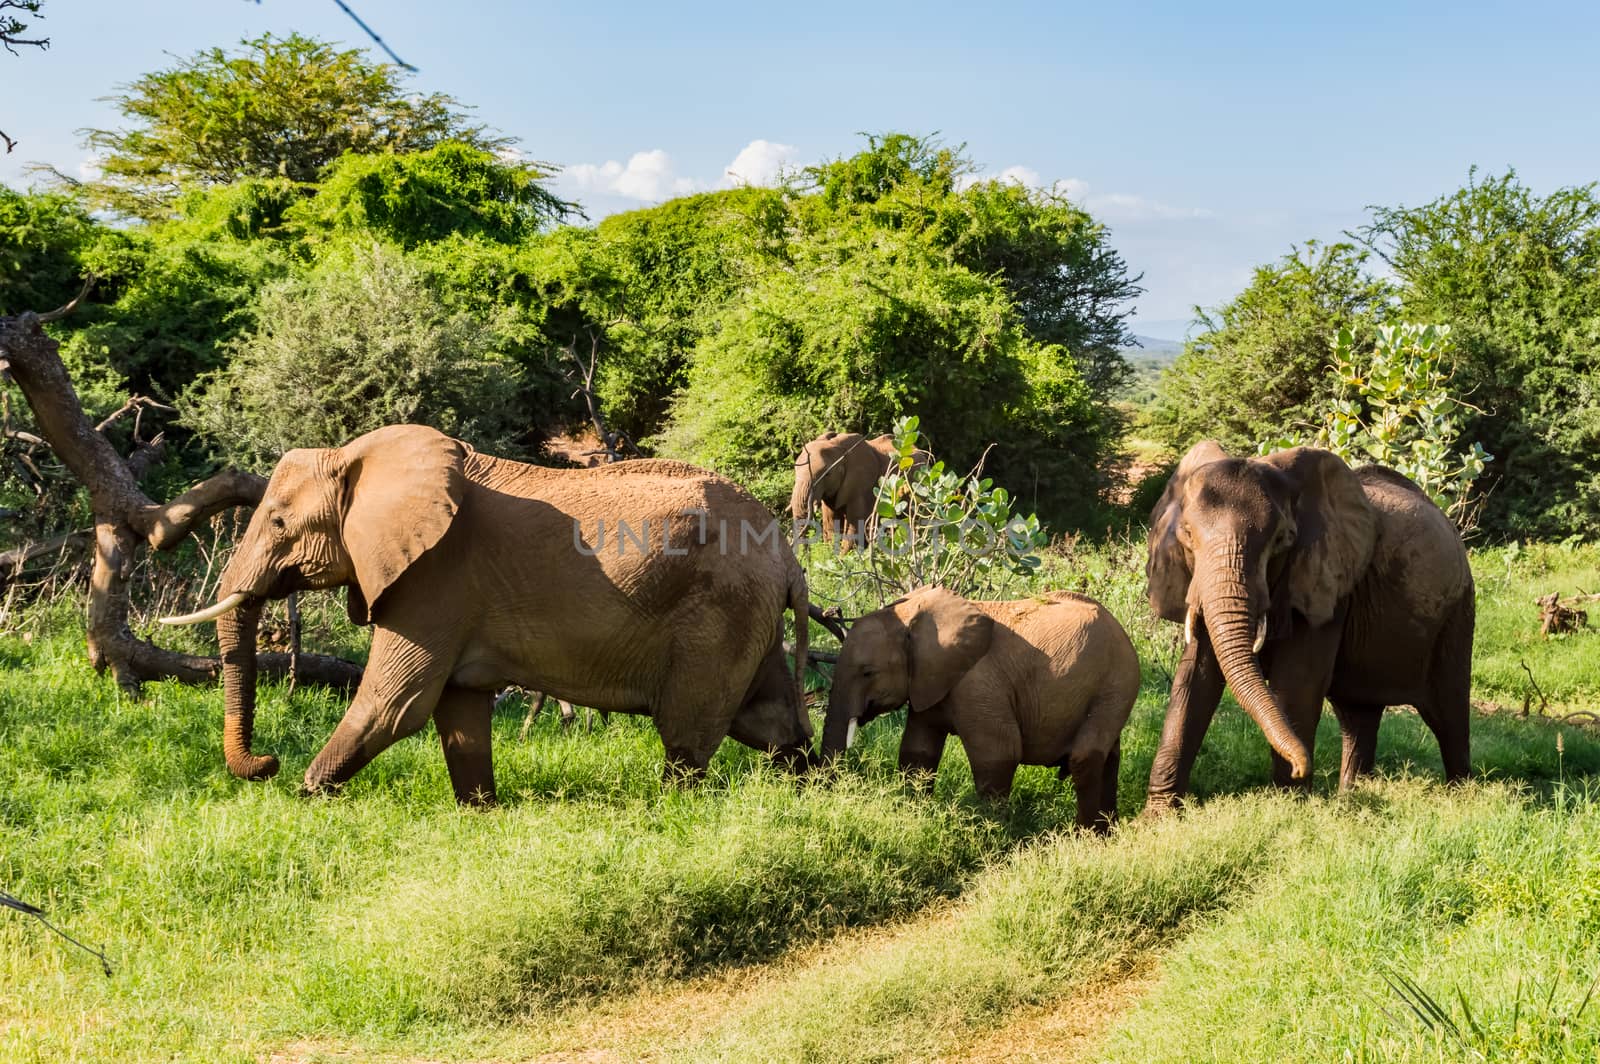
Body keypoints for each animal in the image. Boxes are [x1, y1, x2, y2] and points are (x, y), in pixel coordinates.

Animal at [162, 422, 812, 806]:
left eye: (277, 523)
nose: (267, 764)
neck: (356, 458)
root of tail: (787, 556)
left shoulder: (435, 579)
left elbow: (395, 703)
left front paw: (307, 797)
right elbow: (459, 708)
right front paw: (480, 810)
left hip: (716, 615)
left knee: (687, 735)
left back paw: (675, 804)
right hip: (747, 615)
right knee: (770, 719)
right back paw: (811, 784)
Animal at [790, 428, 934, 544]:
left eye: (827, 474)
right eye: (795, 470)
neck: (837, 446)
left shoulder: (862, 487)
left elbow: (855, 529)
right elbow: (831, 526)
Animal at [819, 585, 1145, 825]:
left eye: (867, 672)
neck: (911, 615)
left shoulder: (977, 683)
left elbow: (998, 753)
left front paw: (991, 829)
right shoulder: (929, 681)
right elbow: (917, 751)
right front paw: (914, 811)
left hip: (1117, 681)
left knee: (1085, 757)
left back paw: (1084, 836)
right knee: (1109, 757)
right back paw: (1106, 832)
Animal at [1139, 435, 1472, 809]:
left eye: (1282, 540)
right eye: (1187, 536)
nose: (1303, 766)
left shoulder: (1328, 582)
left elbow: (1298, 680)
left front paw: (1288, 803)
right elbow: (1194, 678)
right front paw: (1159, 815)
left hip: (1458, 610)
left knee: (1448, 711)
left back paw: (1462, 796)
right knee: (1358, 717)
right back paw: (1351, 795)